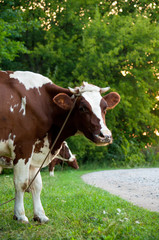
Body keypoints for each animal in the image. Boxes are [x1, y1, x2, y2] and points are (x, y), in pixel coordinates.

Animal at [0, 71, 120, 223]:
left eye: (104, 108)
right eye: (82, 108)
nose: (105, 136)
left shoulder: (36, 152)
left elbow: (36, 185)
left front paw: (40, 215)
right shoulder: (23, 146)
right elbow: (21, 183)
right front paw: (20, 215)